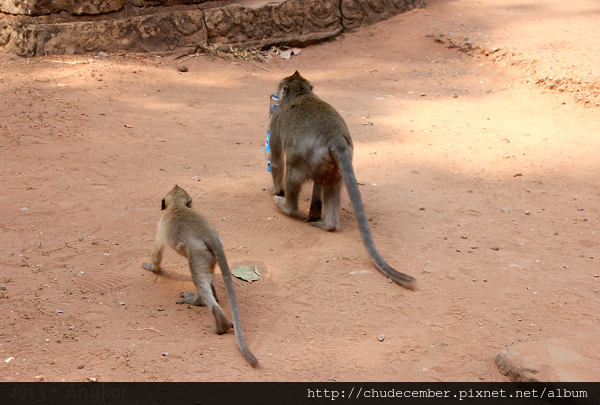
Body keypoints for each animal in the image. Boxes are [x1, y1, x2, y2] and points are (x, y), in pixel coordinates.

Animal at [146, 185, 260, 368]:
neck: (177, 206)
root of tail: (209, 235)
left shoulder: (161, 226)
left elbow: (157, 252)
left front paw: (152, 268)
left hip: (197, 253)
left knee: (199, 281)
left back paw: (202, 305)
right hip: (208, 256)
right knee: (208, 276)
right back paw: (213, 299)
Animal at [270, 72, 414, 288]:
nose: (277, 93)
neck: (300, 93)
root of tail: (334, 137)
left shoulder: (276, 118)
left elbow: (276, 159)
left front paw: (275, 190)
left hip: (303, 157)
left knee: (292, 173)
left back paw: (287, 207)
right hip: (330, 161)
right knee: (332, 184)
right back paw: (327, 224)